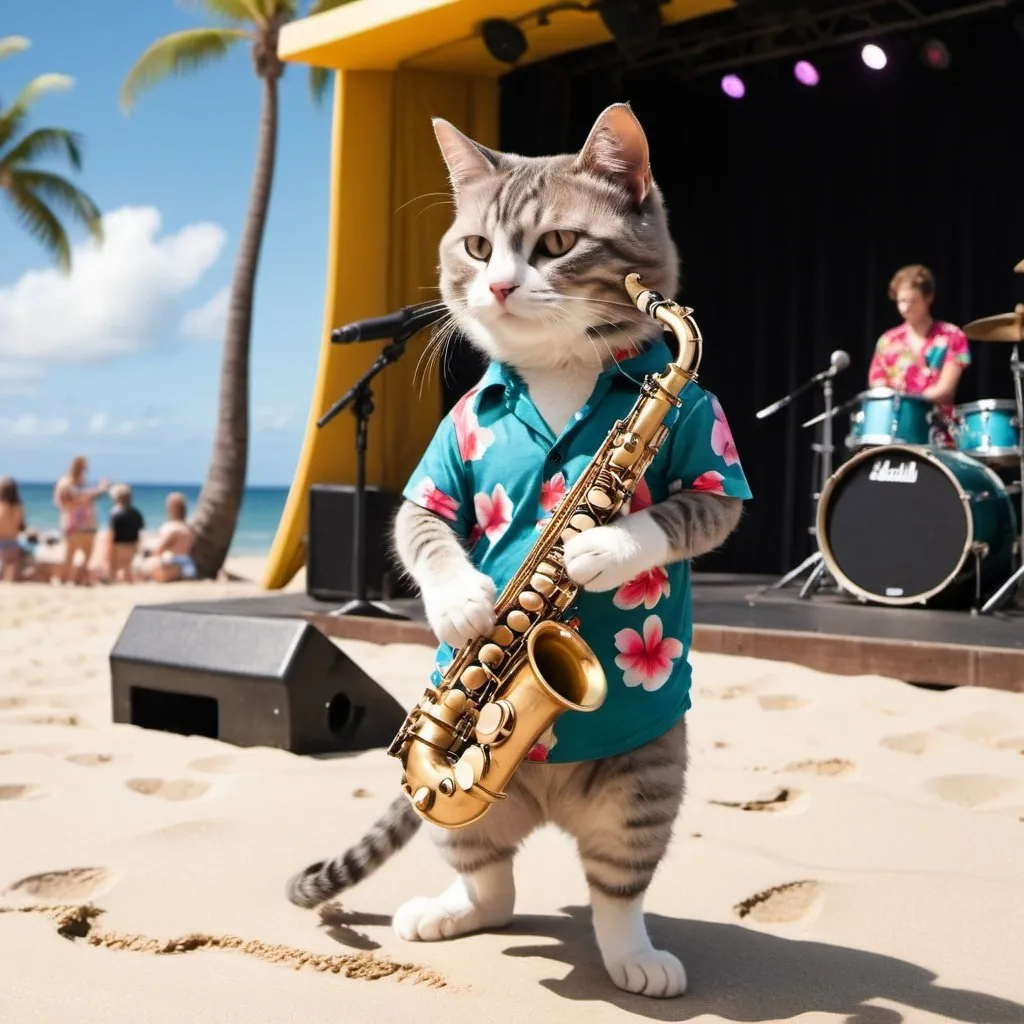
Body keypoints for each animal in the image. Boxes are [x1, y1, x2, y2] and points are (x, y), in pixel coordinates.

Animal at [284, 99, 749, 995]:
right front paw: (468, 606)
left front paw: (597, 549)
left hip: (643, 787)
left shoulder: (714, 467)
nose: (498, 286)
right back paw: (447, 913)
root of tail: (543, 799)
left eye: (559, 244)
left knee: (615, 891)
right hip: (455, 813)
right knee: (490, 881)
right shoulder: (434, 472)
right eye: (476, 247)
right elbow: (423, 533)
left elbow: (677, 518)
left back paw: (636, 960)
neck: (562, 365)